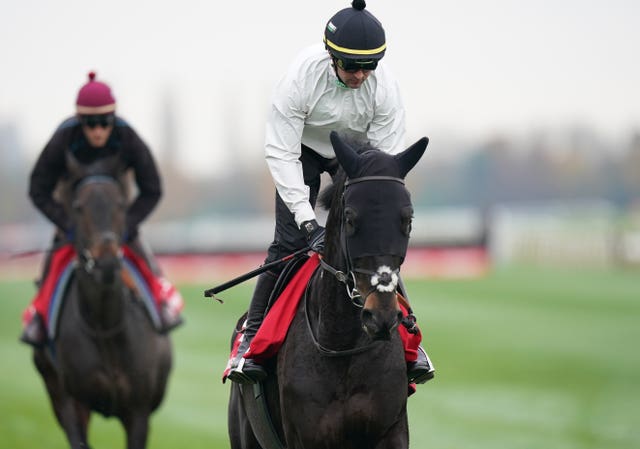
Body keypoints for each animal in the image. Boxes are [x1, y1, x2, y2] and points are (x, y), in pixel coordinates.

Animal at [32, 172, 172, 448]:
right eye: (78, 207)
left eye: (120, 204)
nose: (105, 262)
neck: (104, 328)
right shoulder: (72, 402)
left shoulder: (137, 409)